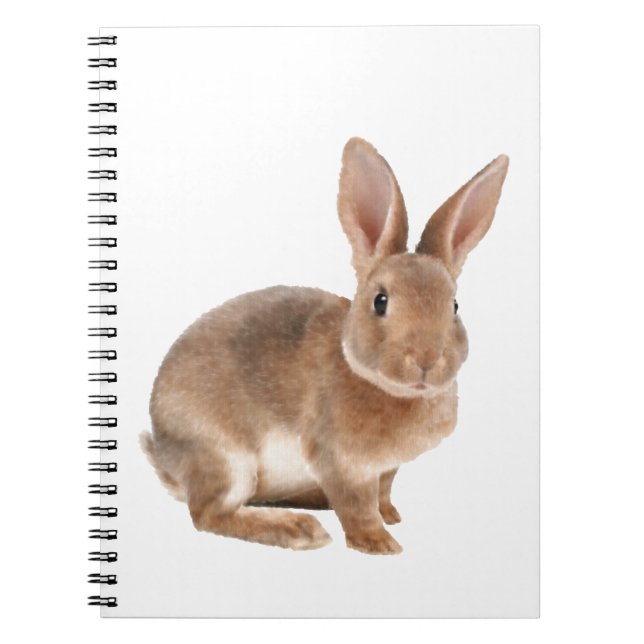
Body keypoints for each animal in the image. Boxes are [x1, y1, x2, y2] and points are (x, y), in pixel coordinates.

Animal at [142, 137, 509, 555]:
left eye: (455, 306)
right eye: (380, 301)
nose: (426, 359)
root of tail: (166, 456)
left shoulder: (385, 469)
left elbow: (382, 493)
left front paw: (391, 516)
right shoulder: (340, 461)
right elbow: (357, 506)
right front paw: (379, 543)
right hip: (225, 458)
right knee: (208, 514)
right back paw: (299, 529)